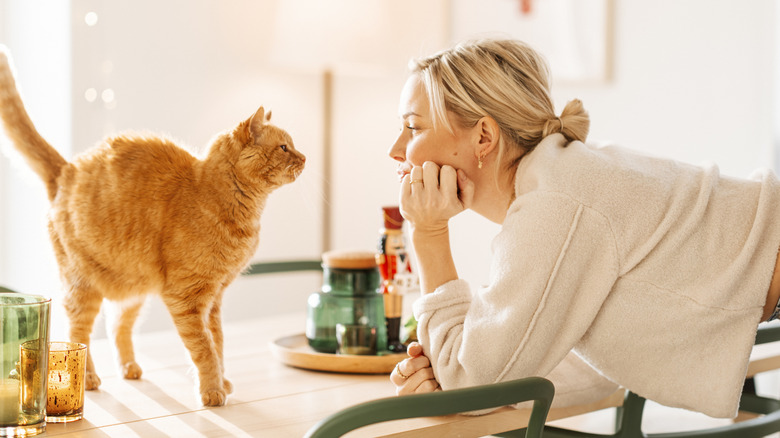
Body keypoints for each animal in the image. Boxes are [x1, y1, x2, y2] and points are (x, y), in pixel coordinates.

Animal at [0, 46, 304, 406]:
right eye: (284, 147)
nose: (305, 158)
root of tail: (67, 169)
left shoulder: (214, 298)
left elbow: (218, 342)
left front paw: (223, 381)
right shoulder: (186, 298)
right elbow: (204, 348)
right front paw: (212, 390)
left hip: (133, 287)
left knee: (117, 326)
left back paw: (129, 367)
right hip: (83, 285)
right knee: (78, 335)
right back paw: (86, 378)